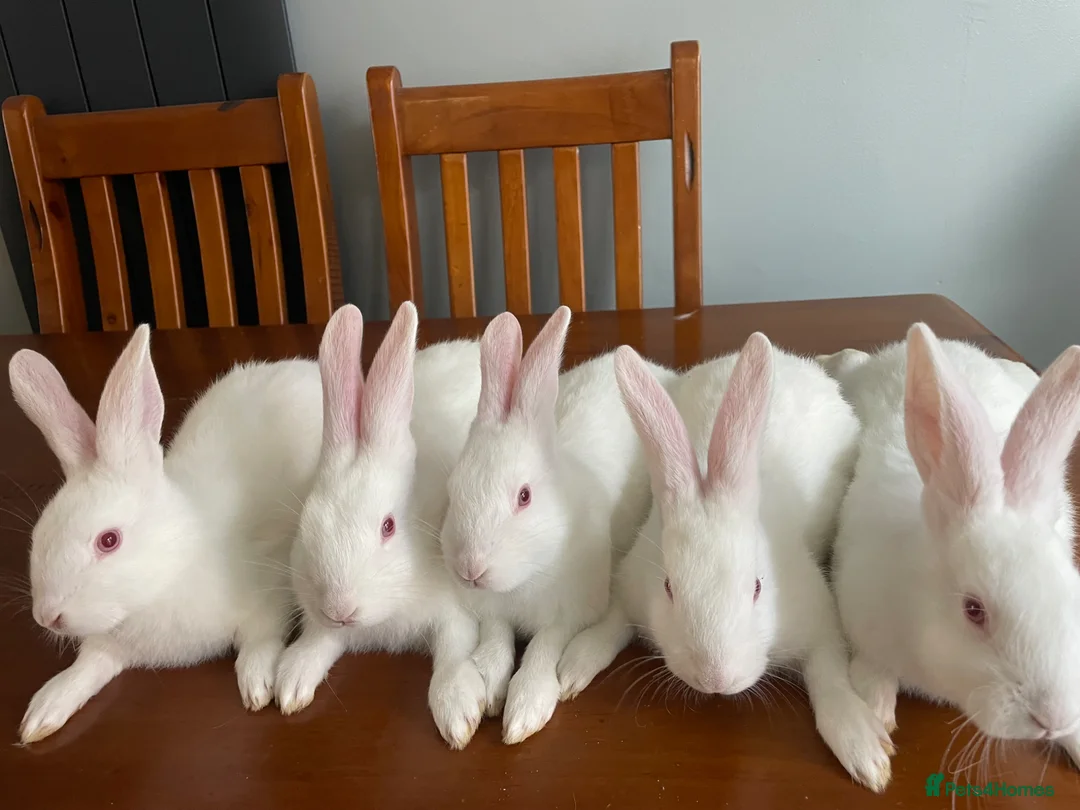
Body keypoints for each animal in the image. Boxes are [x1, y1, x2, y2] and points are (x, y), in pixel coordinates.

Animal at [9, 325, 323, 744]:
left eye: (108, 540)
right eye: (40, 531)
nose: (48, 617)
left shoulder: (269, 590)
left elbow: (261, 640)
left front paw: (258, 685)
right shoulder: (108, 646)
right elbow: (86, 668)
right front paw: (43, 713)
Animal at [273, 301, 489, 750]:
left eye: (387, 527)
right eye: (307, 521)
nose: (339, 608)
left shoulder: (454, 609)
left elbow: (455, 650)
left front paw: (457, 712)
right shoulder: (327, 627)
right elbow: (318, 642)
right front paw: (292, 682)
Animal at [439, 306, 677, 744]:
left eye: (524, 496)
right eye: (453, 487)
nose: (470, 569)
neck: (527, 575)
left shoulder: (572, 611)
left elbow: (544, 647)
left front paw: (523, 712)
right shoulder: (494, 612)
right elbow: (497, 640)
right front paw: (490, 688)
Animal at [557, 333, 896, 792]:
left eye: (757, 587)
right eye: (668, 588)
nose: (715, 680)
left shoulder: (820, 622)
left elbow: (830, 679)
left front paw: (865, 751)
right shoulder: (633, 587)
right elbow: (609, 625)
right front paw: (573, 667)